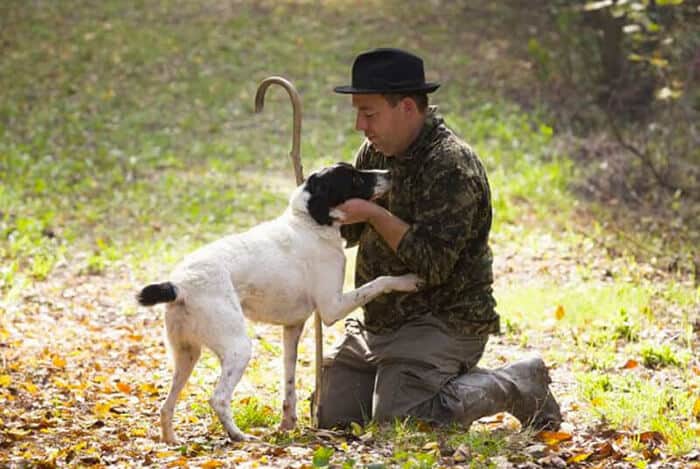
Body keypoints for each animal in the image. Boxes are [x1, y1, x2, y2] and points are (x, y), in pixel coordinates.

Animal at [139, 162, 418, 442]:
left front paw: (287, 424)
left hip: (186, 355)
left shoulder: (292, 328)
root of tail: (179, 284)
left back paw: (172, 440)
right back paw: (239, 436)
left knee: (166, 406)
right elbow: (380, 282)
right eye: (354, 178)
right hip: (238, 348)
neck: (308, 223)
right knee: (218, 399)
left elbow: (289, 381)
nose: (390, 173)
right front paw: (409, 280)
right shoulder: (332, 308)